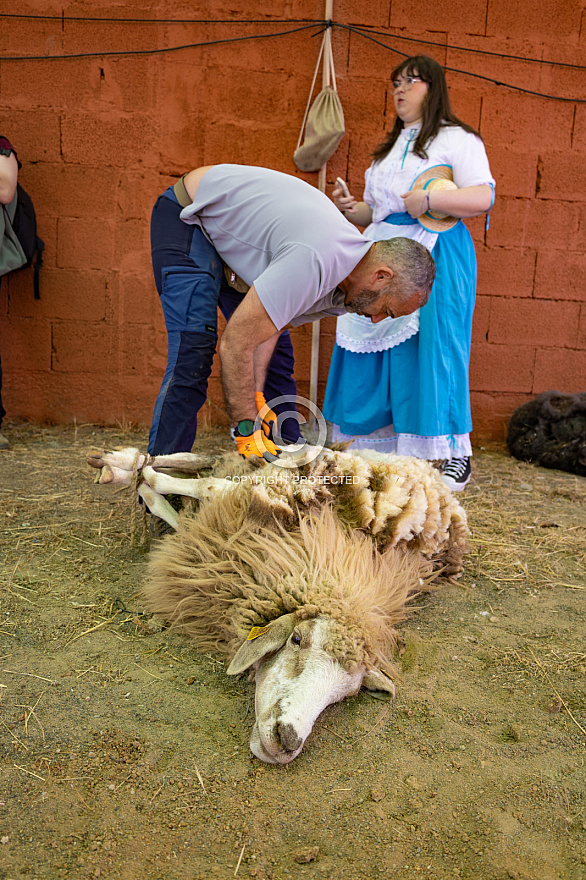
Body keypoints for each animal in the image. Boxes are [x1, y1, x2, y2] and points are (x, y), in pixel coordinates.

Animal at [86, 446, 468, 764]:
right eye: (297, 639)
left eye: (346, 694)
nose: (288, 740)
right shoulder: (262, 503)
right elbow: (206, 488)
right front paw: (146, 478)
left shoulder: (219, 549)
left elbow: (187, 518)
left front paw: (150, 488)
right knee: (215, 463)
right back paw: (125, 464)